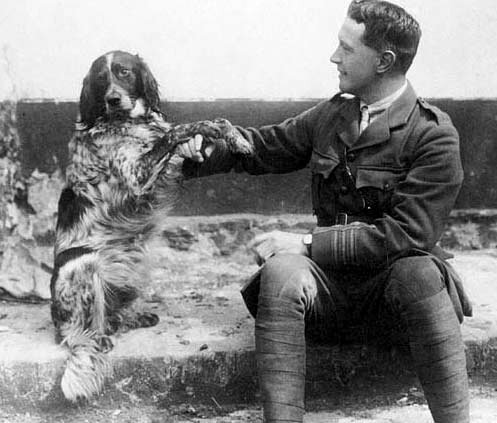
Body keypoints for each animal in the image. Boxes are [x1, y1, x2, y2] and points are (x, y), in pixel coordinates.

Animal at [51, 51, 252, 402]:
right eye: (101, 79)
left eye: (124, 72)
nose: (114, 99)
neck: (128, 122)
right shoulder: (136, 176)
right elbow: (178, 130)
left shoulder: (172, 169)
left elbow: (198, 129)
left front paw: (235, 138)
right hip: (82, 263)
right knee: (74, 334)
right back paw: (95, 338)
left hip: (136, 260)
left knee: (114, 312)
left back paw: (130, 317)